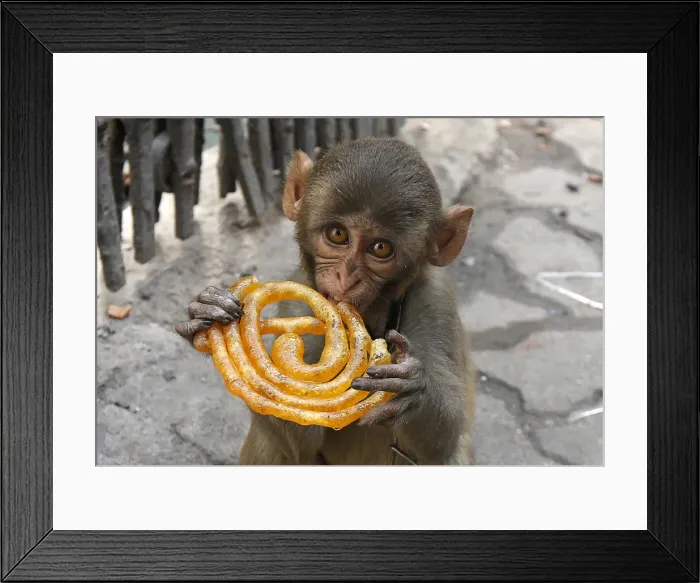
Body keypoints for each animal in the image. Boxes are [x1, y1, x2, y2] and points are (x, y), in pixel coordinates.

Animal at [175, 136, 477, 466]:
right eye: (338, 234)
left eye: (381, 248)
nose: (346, 278)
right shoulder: (301, 300)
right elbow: (301, 440)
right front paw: (210, 308)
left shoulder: (435, 301)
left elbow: (442, 446)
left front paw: (413, 390)